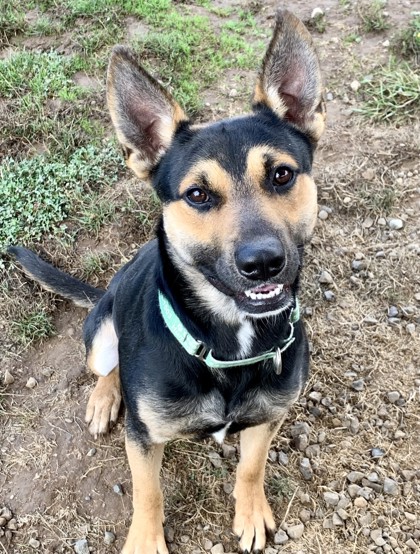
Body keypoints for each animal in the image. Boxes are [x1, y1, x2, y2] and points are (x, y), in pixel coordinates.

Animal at [9, 9, 324, 552]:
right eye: (197, 194)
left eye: (282, 175)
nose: (263, 262)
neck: (227, 340)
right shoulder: (144, 437)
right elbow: (147, 491)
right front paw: (145, 538)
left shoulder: (268, 418)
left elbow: (251, 467)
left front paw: (250, 511)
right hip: (102, 336)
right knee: (107, 367)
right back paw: (105, 398)